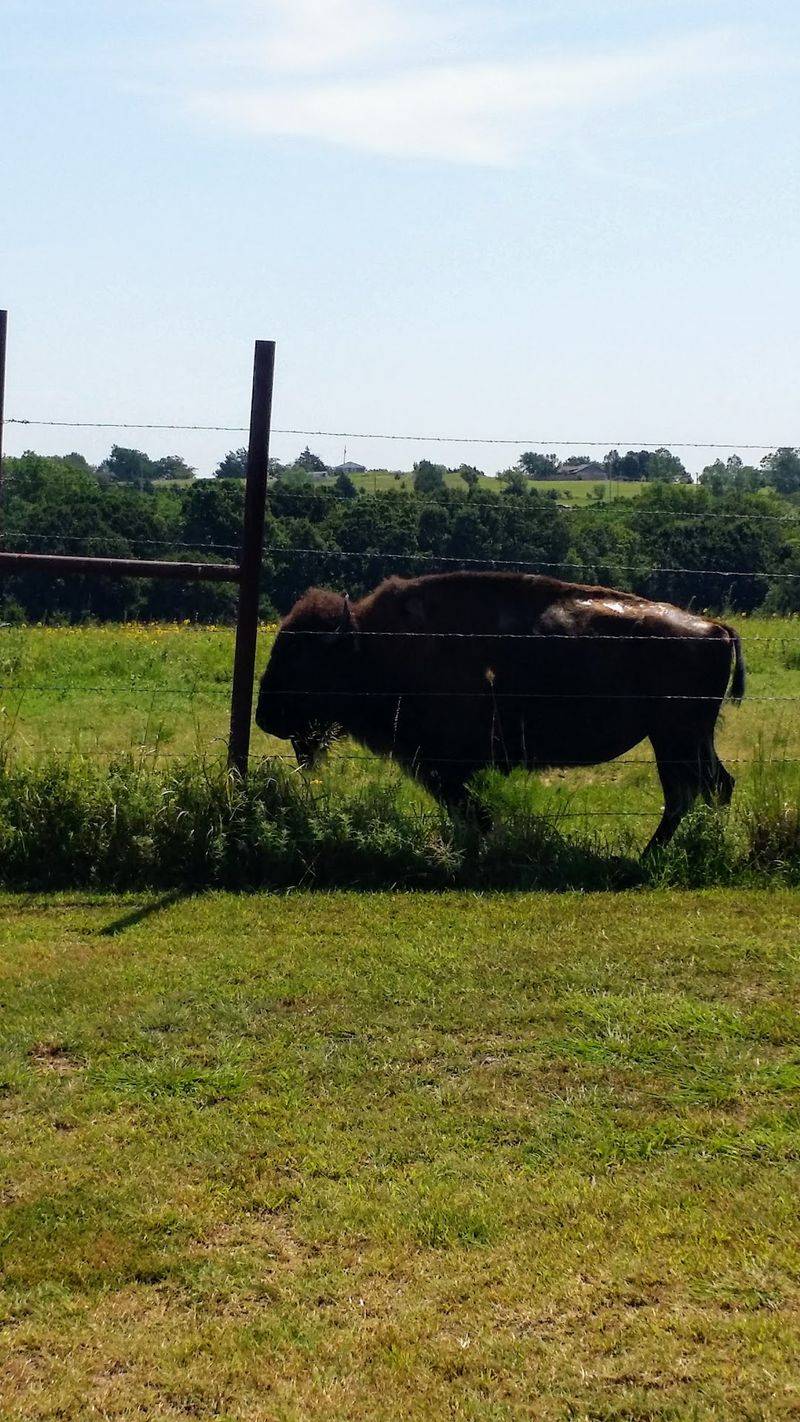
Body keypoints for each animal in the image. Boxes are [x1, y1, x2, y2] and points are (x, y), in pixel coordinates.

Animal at [255, 571, 745, 853]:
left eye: (305, 657)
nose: (265, 716)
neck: (374, 643)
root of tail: (714, 628)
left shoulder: (444, 767)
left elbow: (473, 811)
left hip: (675, 739)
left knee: (689, 792)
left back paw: (655, 855)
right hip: (685, 740)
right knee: (711, 787)